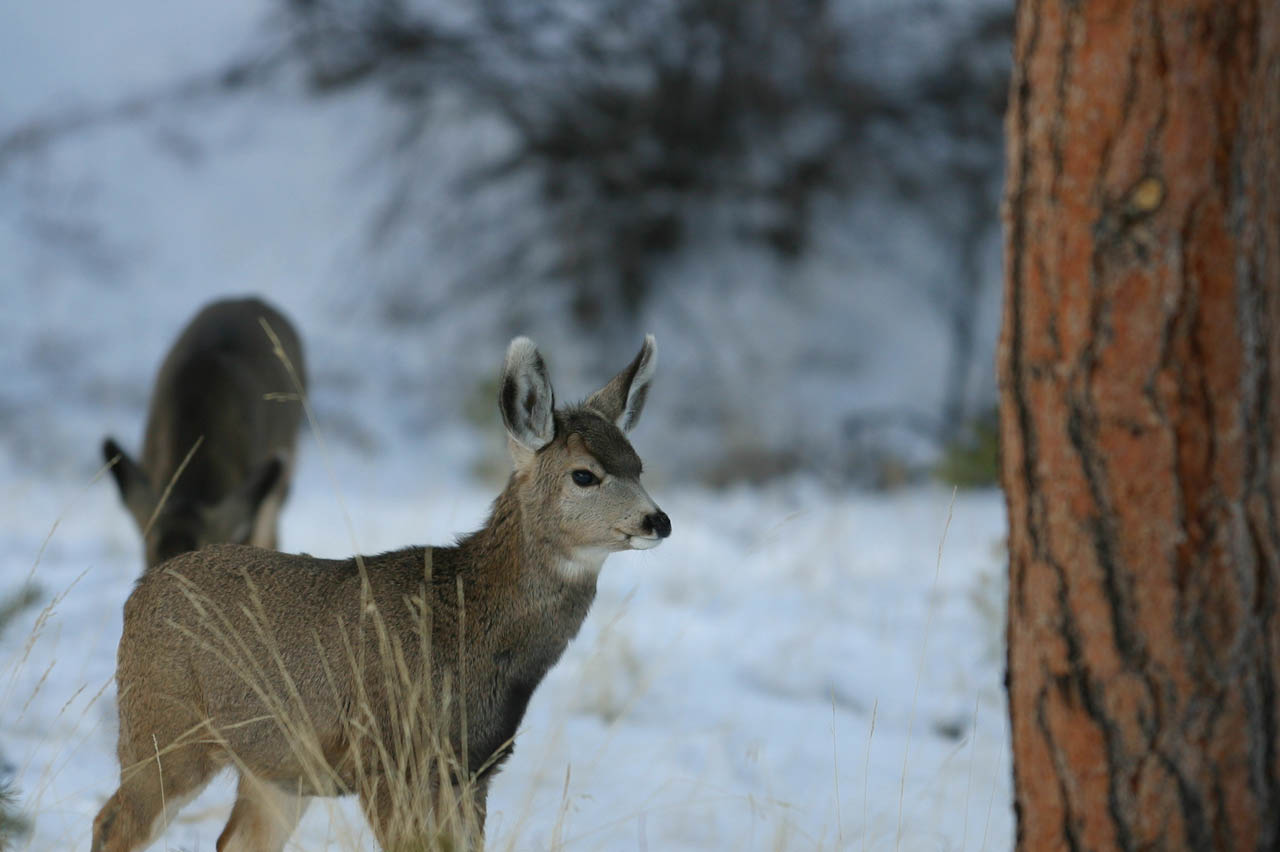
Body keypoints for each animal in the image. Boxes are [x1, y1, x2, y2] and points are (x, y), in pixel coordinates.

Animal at [90, 332, 670, 849]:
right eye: (584, 475)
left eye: (639, 466)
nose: (658, 520)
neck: (467, 622)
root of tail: (139, 593)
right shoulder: (388, 760)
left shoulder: (471, 771)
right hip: (160, 729)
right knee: (110, 823)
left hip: (279, 770)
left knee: (232, 840)